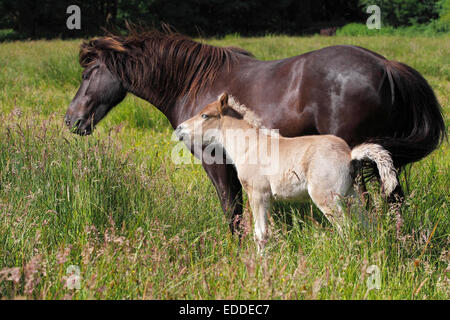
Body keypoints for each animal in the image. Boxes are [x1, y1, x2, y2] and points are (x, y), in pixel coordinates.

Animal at [64, 29, 446, 235]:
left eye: (89, 73)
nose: (71, 120)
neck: (193, 82)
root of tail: (385, 65)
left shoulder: (216, 164)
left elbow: (231, 208)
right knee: (394, 198)